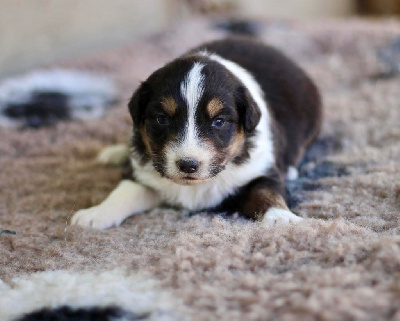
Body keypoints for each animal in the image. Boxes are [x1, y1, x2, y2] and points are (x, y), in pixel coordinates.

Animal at [71, 37, 322, 228]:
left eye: (219, 121)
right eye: (162, 119)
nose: (188, 165)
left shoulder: (260, 170)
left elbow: (267, 193)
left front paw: (281, 218)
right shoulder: (145, 173)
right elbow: (125, 190)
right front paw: (96, 214)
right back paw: (115, 152)